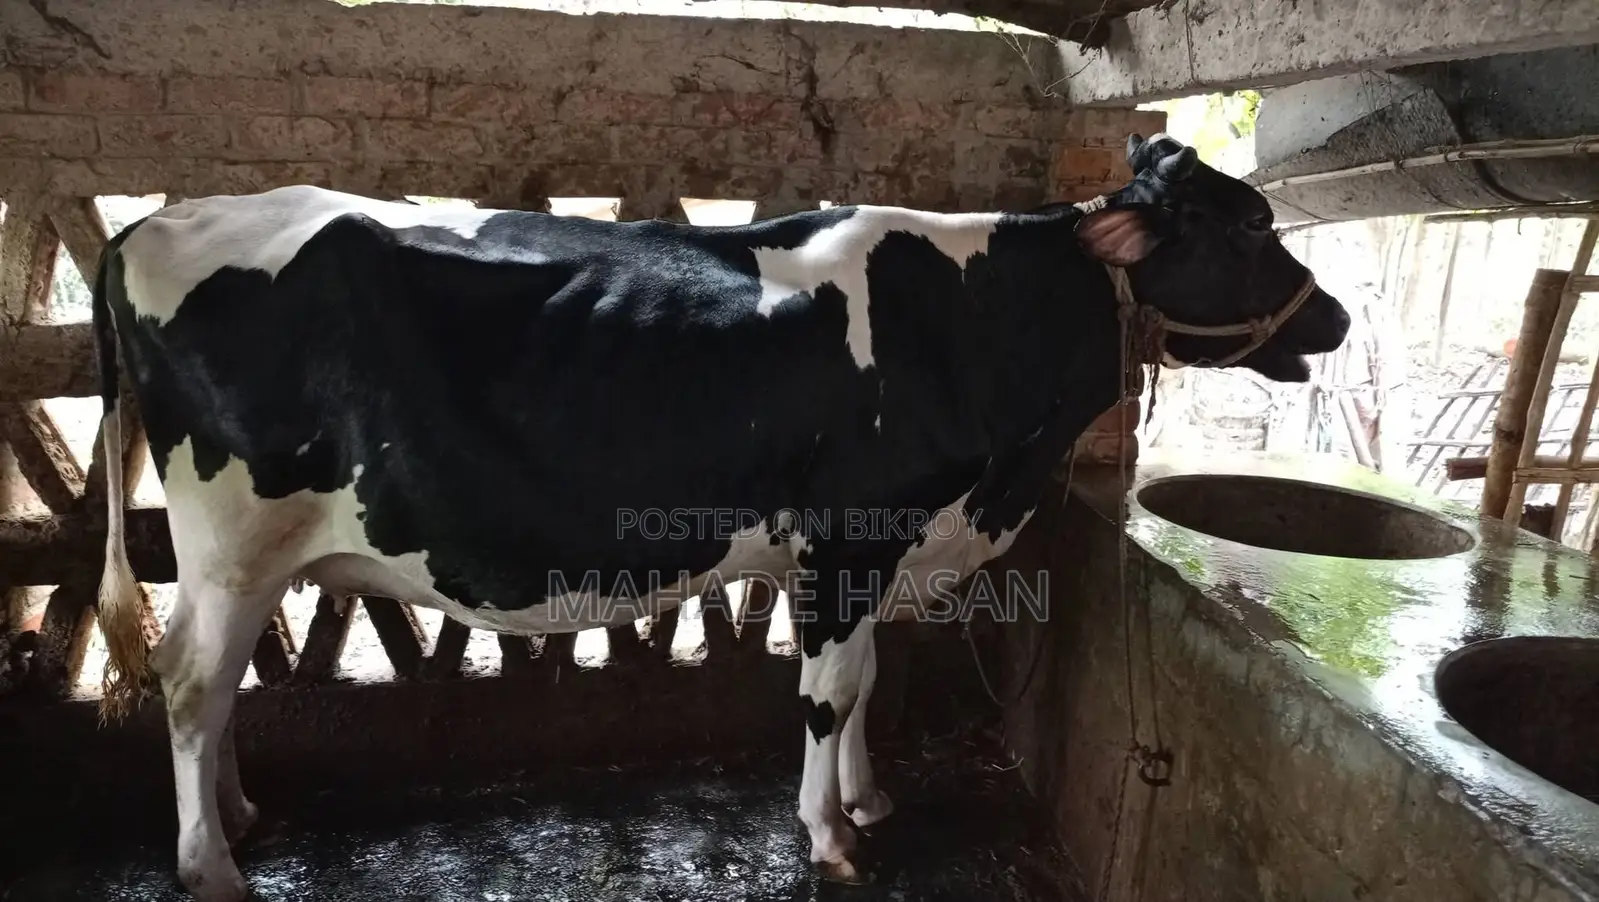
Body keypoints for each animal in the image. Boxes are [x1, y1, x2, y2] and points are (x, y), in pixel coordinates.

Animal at [89, 133, 1349, 901]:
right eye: (1245, 227)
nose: (1333, 317)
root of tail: (155, 222)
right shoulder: (853, 530)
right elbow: (829, 690)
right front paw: (830, 834)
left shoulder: (877, 545)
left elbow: (867, 679)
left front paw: (868, 796)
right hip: (229, 540)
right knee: (191, 680)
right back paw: (209, 861)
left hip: (242, 556)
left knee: (217, 682)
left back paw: (240, 812)